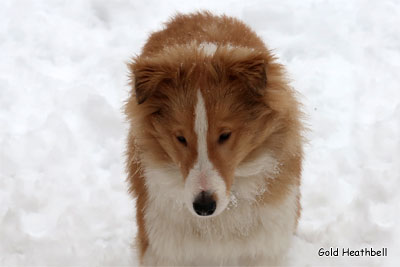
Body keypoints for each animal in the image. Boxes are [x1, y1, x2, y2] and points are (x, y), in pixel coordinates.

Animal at [125, 11, 304, 266]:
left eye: (225, 135)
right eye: (180, 137)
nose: (204, 206)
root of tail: (193, 14)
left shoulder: (264, 248)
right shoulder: (163, 249)